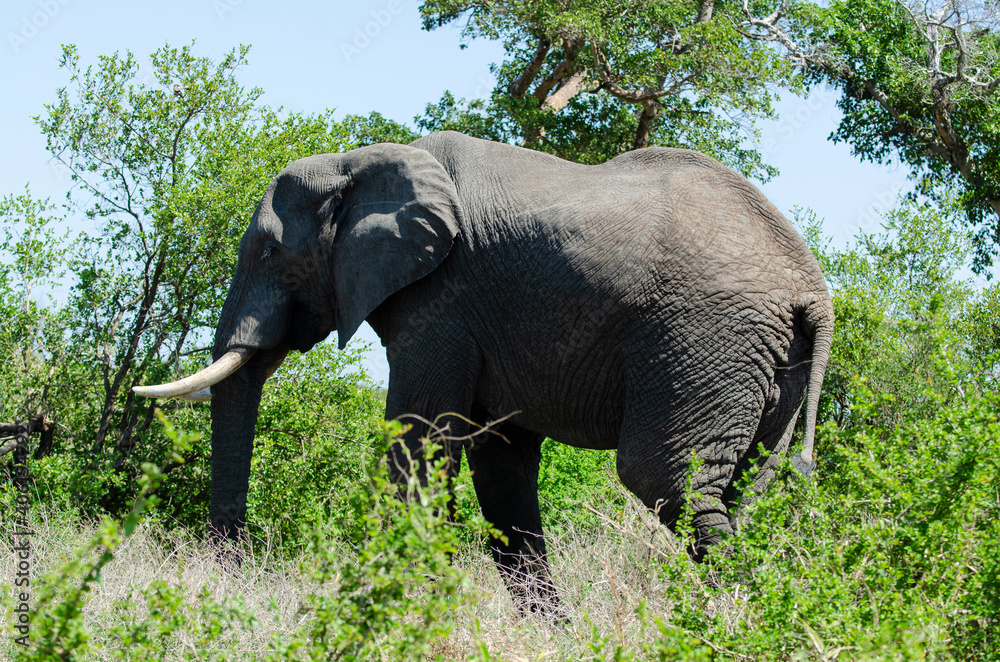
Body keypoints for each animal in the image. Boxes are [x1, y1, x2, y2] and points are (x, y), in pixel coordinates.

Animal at [136, 130, 833, 614]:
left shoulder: (441, 302)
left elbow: (418, 447)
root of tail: (814, 290)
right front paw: (552, 634)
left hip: (705, 339)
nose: (233, 579)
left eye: (272, 251)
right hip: (764, 365)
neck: (358, 162)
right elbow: (500, 469)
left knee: (664, 474)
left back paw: (730, 622)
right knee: (732, 489)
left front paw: (392, 617)